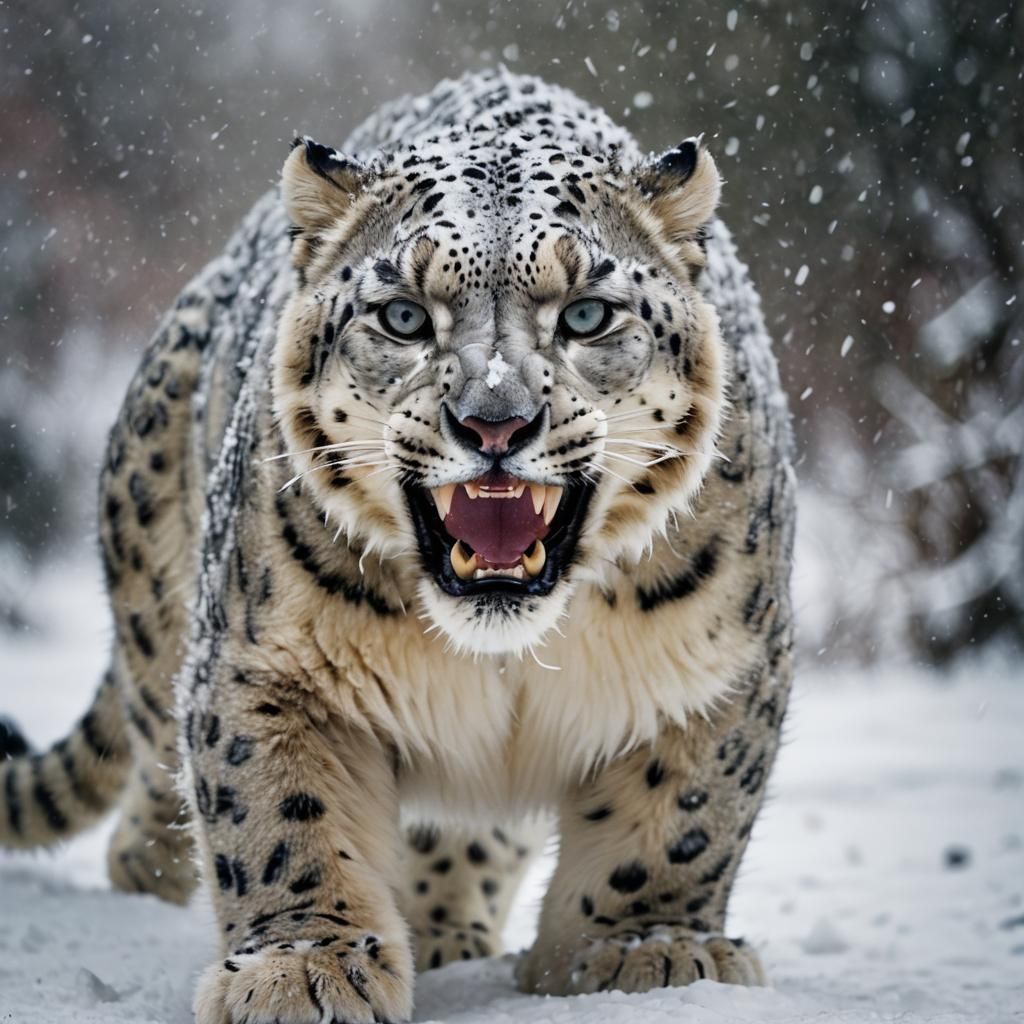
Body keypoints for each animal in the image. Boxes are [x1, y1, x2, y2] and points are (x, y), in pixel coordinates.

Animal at [1, 68, 794, 1022]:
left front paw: (648, 951)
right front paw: (303, 967)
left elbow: (682, 815)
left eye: (587, 314)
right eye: (406, 316)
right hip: (162, 624)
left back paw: (450, 929)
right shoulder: (267, 663)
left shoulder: (718, 667)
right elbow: (280, 812)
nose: (495, 423)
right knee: (153, 796)